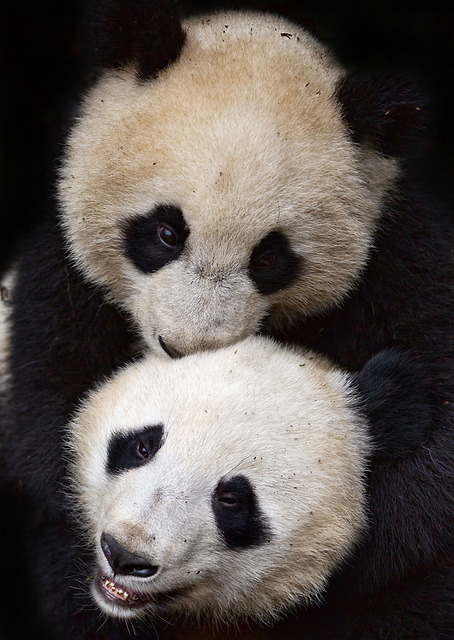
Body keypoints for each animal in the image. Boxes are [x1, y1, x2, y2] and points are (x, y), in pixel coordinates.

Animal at [2, 0, 454, 637]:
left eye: (270, 257)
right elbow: (45, 412)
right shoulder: (58, 280)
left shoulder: (404, 259)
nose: (184, 345)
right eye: (164, 232)